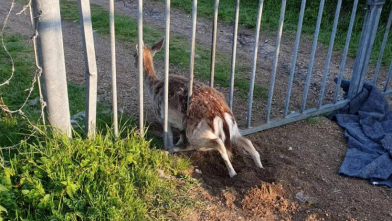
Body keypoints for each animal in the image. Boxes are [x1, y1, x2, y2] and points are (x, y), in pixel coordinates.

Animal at [135, 37, 264, 177]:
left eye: (134, 54)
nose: (135, 63)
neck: (154, 87)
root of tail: (221, 115)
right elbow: (180, 137)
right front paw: (174, 146)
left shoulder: (163, 118)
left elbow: (169, 136)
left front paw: (169, 148)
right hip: (233, 130)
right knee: (246, 141)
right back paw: (260, 167)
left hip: (197, 133)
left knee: (218, 143)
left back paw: (232, 173)